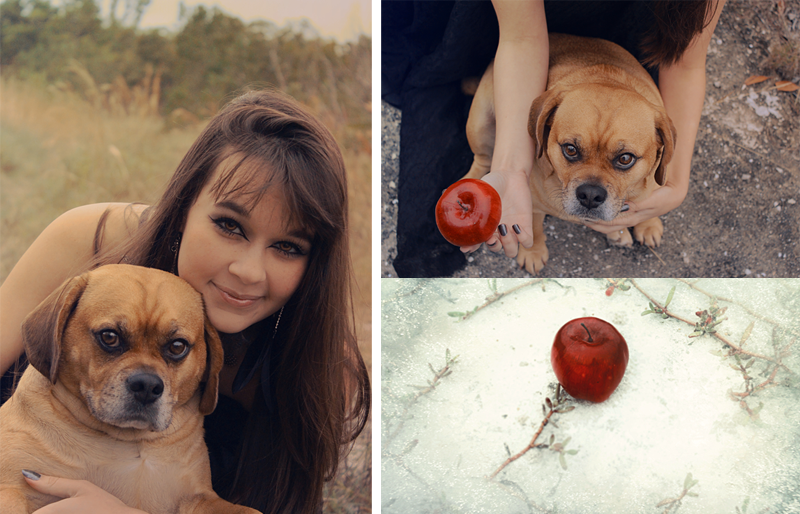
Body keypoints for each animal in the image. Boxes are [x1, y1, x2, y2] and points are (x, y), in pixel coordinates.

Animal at [0, 264, 258, 512]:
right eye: (110, 336)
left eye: (177, 346)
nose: (147, 386)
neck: (129, 442)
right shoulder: (12, 488)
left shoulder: (199, 497)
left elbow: (248, 511)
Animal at [462, 33, 676, 272]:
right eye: (570, 149)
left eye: (625, 158)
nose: (591, 195)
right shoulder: (531, 205)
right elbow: (534, 229)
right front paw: (533, 252)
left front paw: (647, 224)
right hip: (480, 126)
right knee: (482, 159)